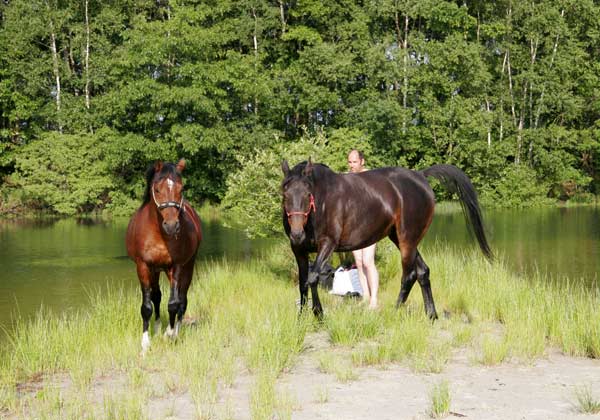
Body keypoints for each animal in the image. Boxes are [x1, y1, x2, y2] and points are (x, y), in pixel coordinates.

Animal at [125, 159, 203, 352]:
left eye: (181, 188)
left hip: (186, 267)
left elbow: (174, 303)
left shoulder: (176, 266)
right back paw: (159, 326)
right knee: (157, 296)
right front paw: (145, 343)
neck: (158, 233)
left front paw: (170, 333)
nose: (172, 225)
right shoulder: (143, 266)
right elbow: (147, 306)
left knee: (182, 299)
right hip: (156, 270)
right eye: (158, 189)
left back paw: (175, 331)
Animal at [282, 160, 492, 318]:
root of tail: (421, 176)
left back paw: (395, 311)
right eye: (285, 194)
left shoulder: (327, 244)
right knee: (423, 271)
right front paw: (302, 317)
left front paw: (318, 314)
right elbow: (303, 281)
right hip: (401, 239)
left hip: (407, 239)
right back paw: (431, 314)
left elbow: (313, 277)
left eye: (308, 194)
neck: (324, 202)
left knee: (409, 275)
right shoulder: (298, 250)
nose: (297, 233)